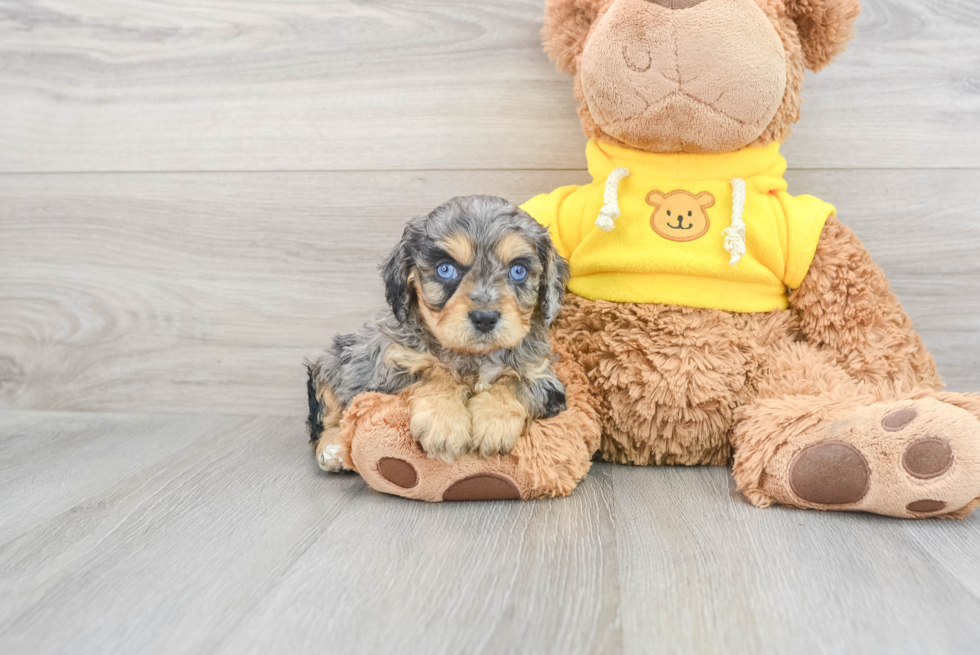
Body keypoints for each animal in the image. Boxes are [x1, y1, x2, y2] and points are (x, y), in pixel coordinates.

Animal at [304, 195, 568, 472]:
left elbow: (516, 383)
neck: (473, 356)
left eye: (518, 271)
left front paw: (493, 421)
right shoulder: (389, 370)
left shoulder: (545, 378)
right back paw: (333, 449)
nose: (485, 318)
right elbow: (434, 372)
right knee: (323, 422)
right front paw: (444, 423)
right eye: (445, 269)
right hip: (332, 366)